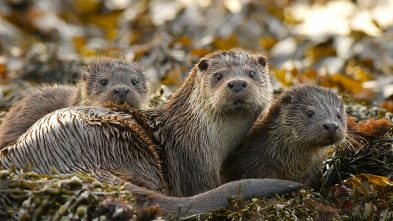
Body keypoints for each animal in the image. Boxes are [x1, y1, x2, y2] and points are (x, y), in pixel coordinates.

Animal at [0, 48, 302, 216]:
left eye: (251, 74)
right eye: (218, 76)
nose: (237, 83)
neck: (198, 131)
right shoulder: (193, 158)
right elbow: (202, 187)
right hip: (123, 142)